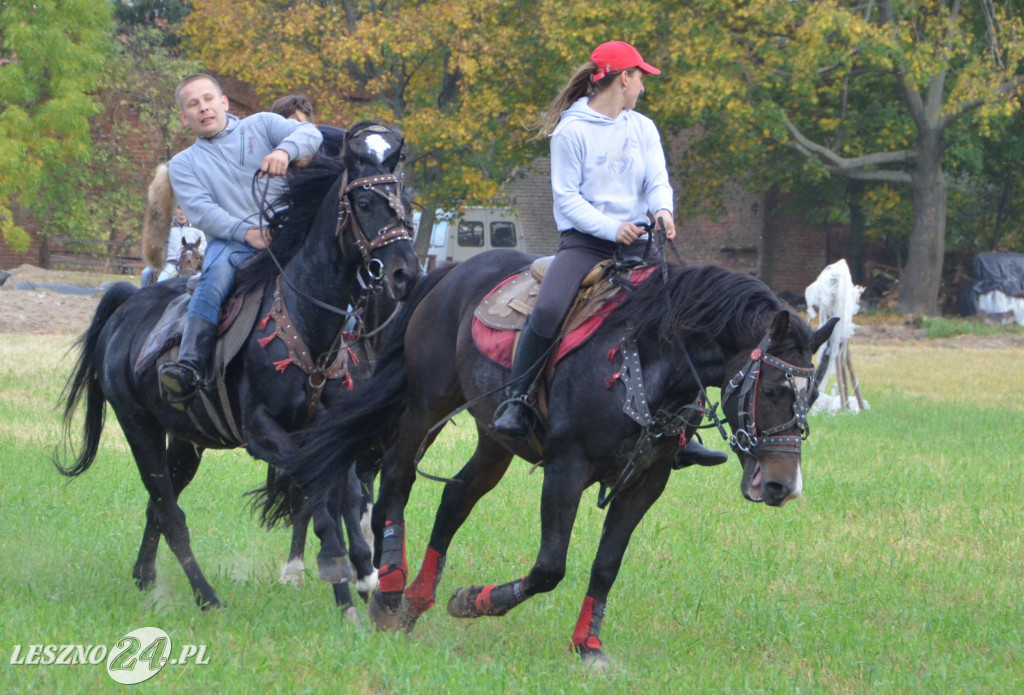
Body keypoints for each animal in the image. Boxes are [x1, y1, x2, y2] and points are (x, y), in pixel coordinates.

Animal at [274, 249, 839, 663]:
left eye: (811, 395)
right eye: (772, 392)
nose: (782, 486)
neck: (646, 359)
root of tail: (454, 271)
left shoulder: (646, 482)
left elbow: (606, 566)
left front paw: (588, 646)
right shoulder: (567, 469)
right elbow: (549, 568)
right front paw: (474, 601)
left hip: (492, 439)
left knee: (455, 497)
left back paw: (416, 601)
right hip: (424, 405)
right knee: (397, 477)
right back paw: (390, 591)